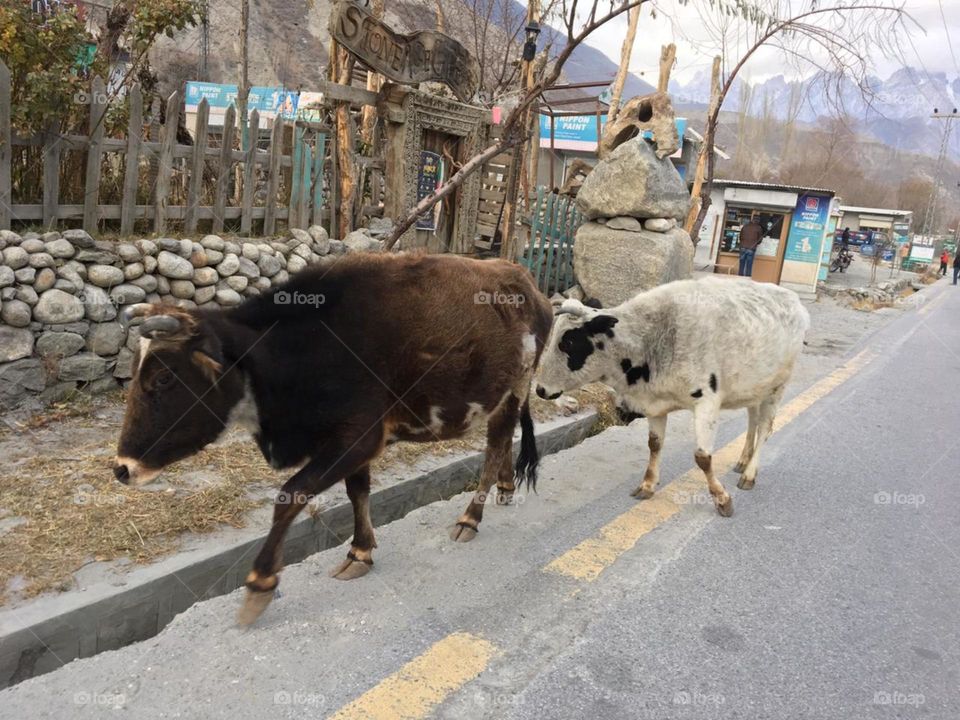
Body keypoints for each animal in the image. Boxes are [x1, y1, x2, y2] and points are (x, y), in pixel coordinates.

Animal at [113, 252, 554, 625]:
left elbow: (289, 495)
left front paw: (260, 583)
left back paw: (470, 518)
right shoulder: (355, 445)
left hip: (512, 391)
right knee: (504, 445)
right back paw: (505, 488)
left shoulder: (357, 439)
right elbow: (357, 492)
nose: (122, 469)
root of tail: (527, 282)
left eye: (163, 378)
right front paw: (360, 552)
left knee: (495, 447)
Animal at [534, 276, 810, 517]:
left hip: (777, 387)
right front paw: (647, 485)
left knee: (764, 428)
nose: (539, 389)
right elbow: (654, 445)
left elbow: (702, 457)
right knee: (752, 421)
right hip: (754, 388)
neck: (652, 339)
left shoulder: (707, 402)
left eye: (568, 343)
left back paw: (749, 474)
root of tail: (791, 298)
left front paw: (722, 499)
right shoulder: (655, 405)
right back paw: (743, 460)